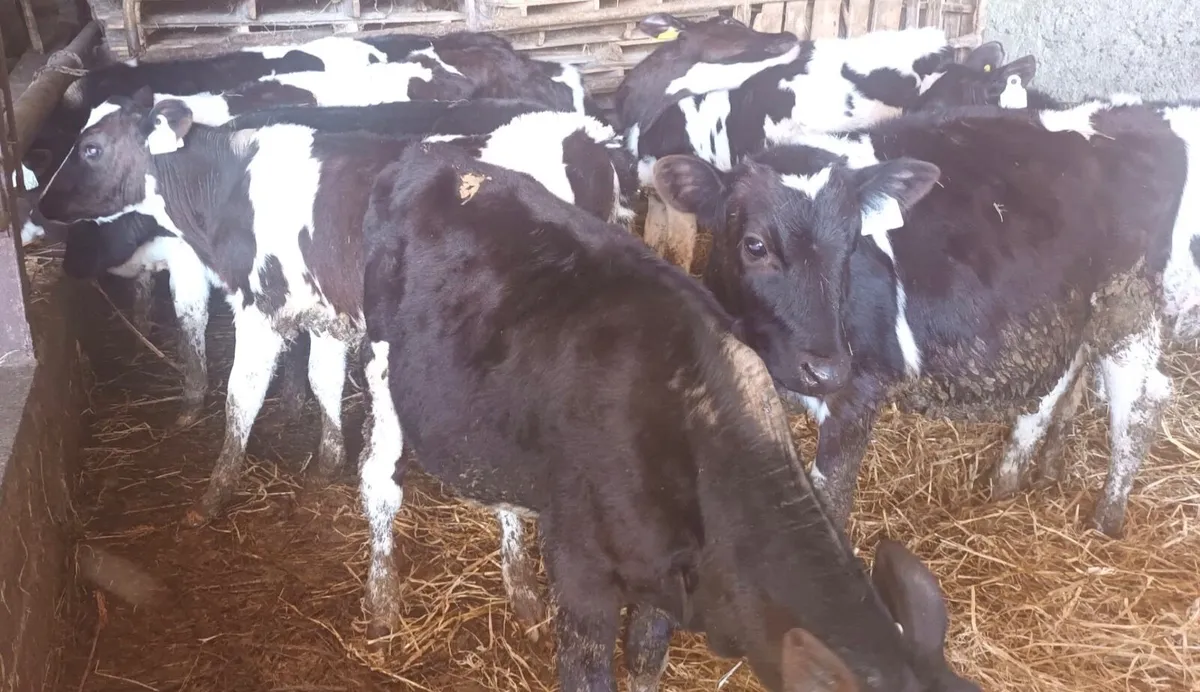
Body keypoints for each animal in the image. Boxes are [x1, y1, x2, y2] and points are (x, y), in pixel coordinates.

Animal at [35, 90, 634, 634]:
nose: (41, 207)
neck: (228, 185)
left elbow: (241, 398)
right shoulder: (327, 314)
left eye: (90, 148)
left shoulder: (260, 306)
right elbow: (322, 380)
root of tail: (581, 133)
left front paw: (212, 496)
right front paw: (326, 461)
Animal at [356, 141, 980, 692]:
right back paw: (383, 604)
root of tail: (430, 154)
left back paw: (522, 592)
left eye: (853, 246)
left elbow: (646, 659)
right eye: (755, 245)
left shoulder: (670, 583)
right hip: (381, 365)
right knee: (379, 480)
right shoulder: (580, 571)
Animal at [649, 99, 1200, 538]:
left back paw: (1106, 520)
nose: (827, 369)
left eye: (853, 241)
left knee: (1143, 402)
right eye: (755, 245)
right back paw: (1010, 481)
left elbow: (830, 498)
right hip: (1071, 311)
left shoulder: (860, 389)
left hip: (1129, 308)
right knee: (1054, 389)